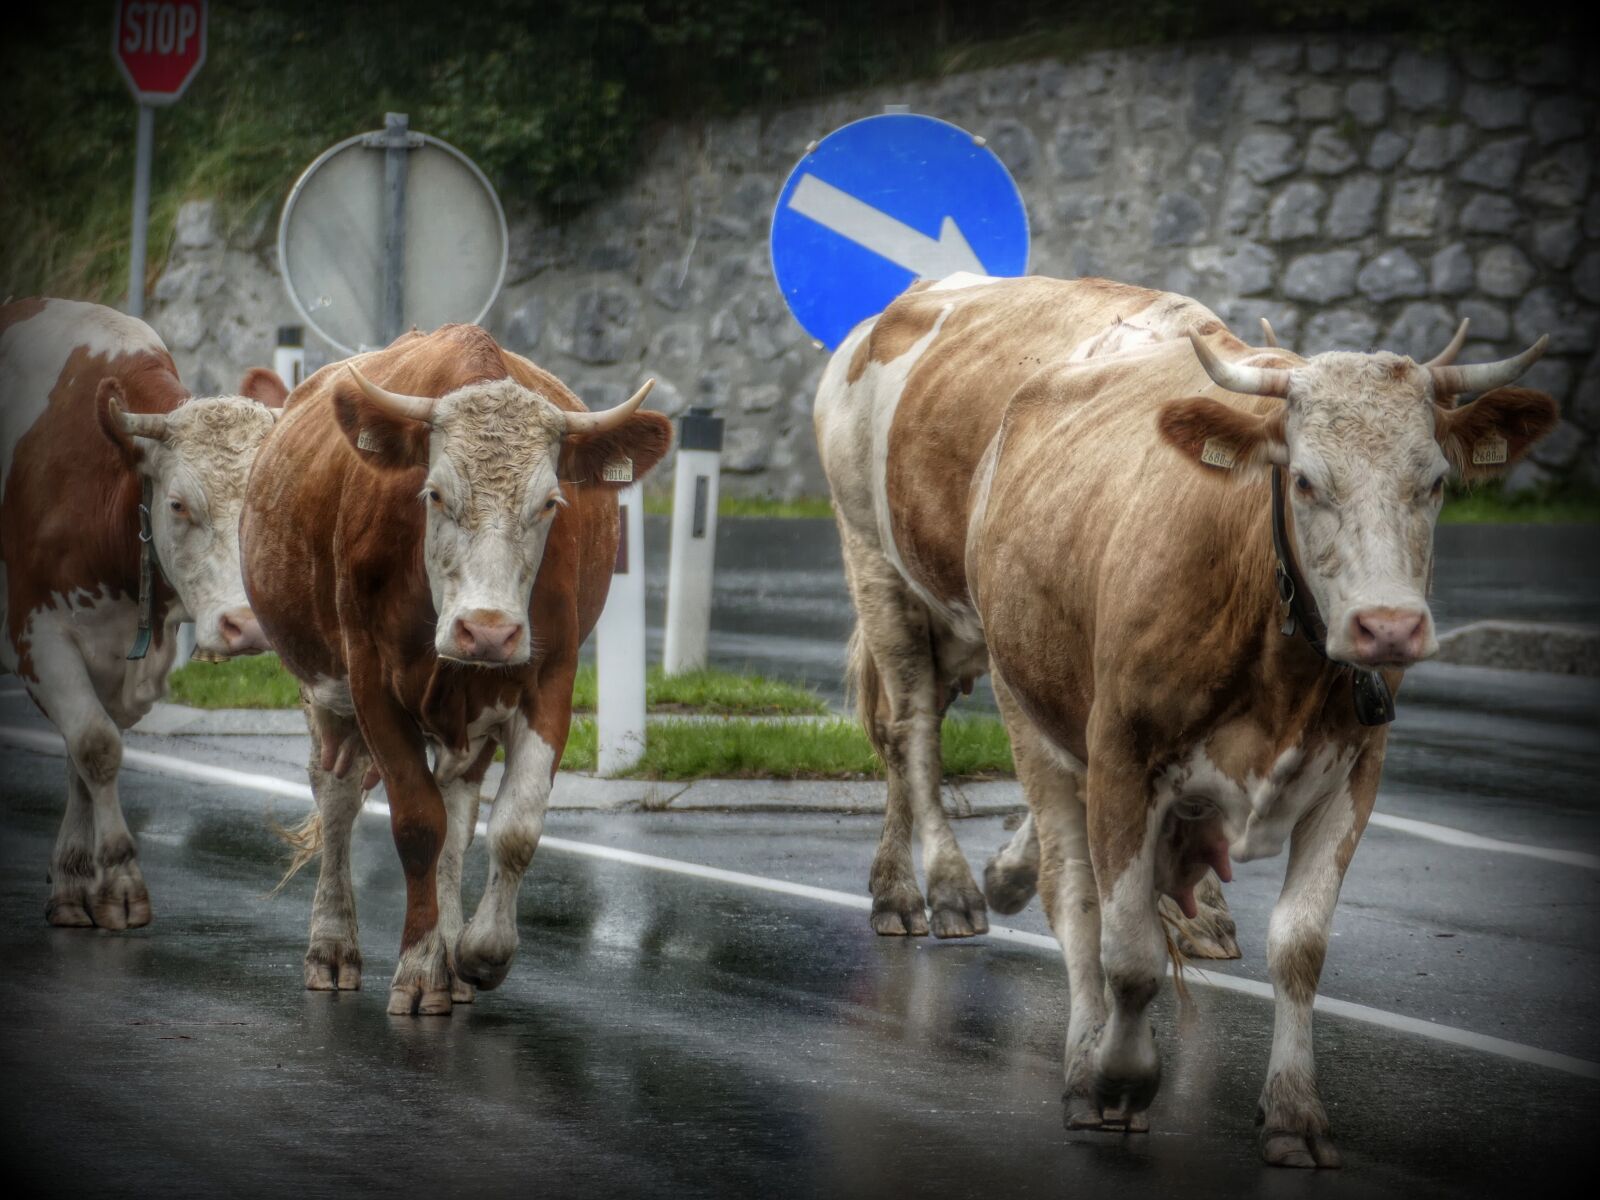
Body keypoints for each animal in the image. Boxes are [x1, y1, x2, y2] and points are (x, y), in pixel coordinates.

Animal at [1, 297, 281, 929]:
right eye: (177, 504)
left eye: (264, 501)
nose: (248, 625)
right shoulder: (38, 636)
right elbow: (96, 748)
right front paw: (121, 879)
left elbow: (82, 760)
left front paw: (76, 880)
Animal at [242, 324, 670, 1015]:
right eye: (435, 493)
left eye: (550, 502)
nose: (488, 630)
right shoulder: (370, 682)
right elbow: (418, 825)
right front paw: (419, 970)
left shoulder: (551, 679)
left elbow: (512, 827)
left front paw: (477, 951)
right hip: (326, 694)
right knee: (336, 796)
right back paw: (333, 946)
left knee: (458, 812)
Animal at [813, 273, 1556, 1166]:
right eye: (1305, 481)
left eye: (1436, 481)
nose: (1389, 627)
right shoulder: (1119, 750)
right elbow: (1124, 946)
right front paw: (1117, 1076)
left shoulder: (1352, 773)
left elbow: (1299, 946)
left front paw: (1294, 1111)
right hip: (884, 575)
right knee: (922, 744)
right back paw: (946, 893)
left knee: (904, 742)